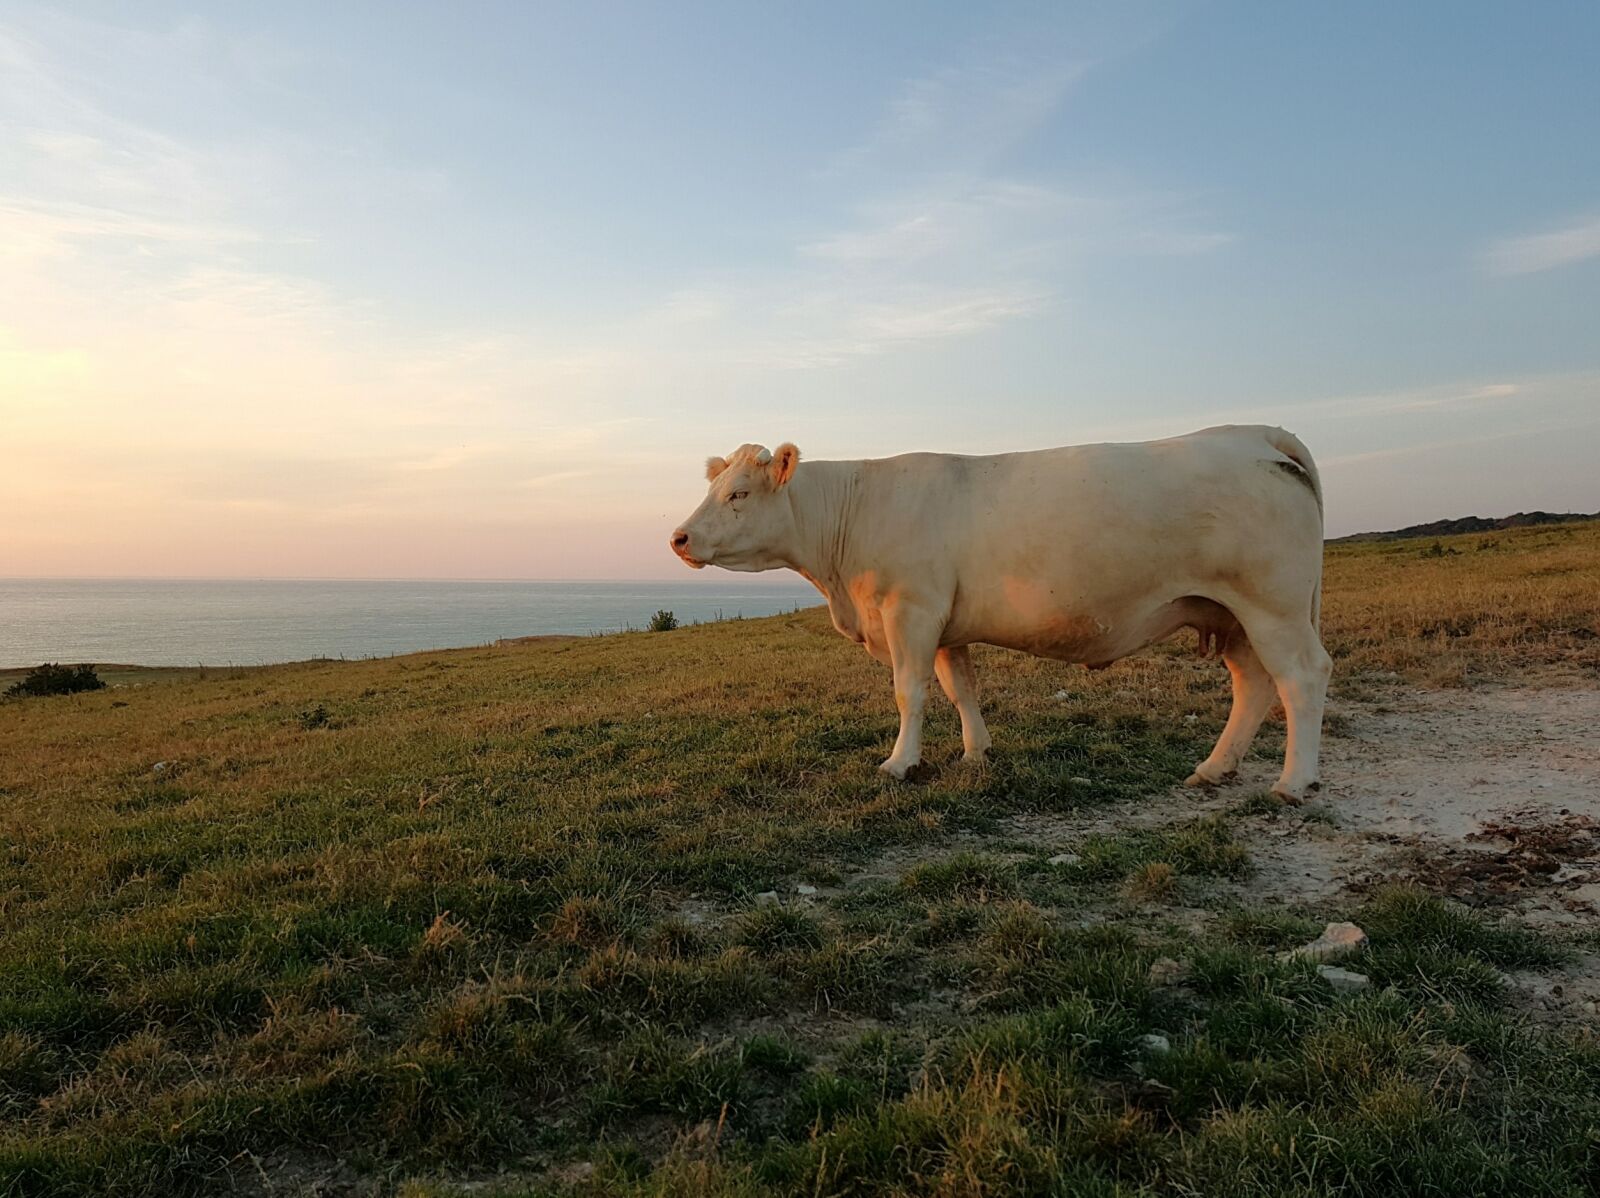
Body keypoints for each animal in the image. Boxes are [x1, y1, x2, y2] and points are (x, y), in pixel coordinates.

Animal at [670, 425, 1331, 800]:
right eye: (714, 487)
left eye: (739, 493)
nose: (678, 538)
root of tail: (1251, 433)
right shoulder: (945, 623)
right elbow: (960, 687)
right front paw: (975, 752)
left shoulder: (910, 610)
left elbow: (910, 691)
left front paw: (900, 763)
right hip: (1233, 613)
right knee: (1253, 684)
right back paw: (1214, 768)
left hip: (1273, 605)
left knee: (1301, 677)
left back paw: (1293, 784)